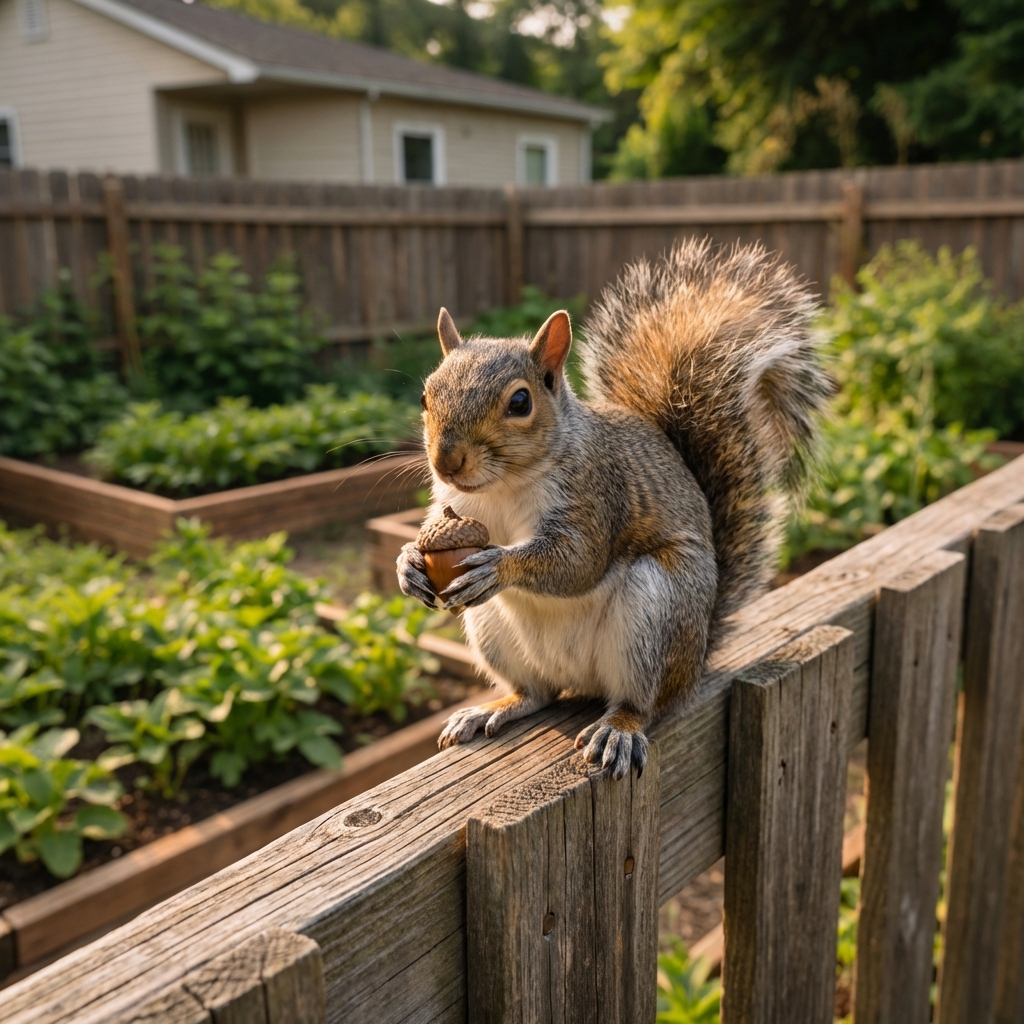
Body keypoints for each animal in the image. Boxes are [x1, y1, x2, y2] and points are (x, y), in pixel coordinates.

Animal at [397, 238, 831, 779]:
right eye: (425, 395)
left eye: (520, 402)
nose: (446, 461)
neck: (500, 487)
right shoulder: (451, 505)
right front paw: (408, 565)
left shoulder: (597, 495)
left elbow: (578, 562)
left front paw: (499, 566)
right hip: (494, 630)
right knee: (537, 693)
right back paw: (493, 708)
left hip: (656, 613)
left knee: (643, 702)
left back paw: (619, 729)